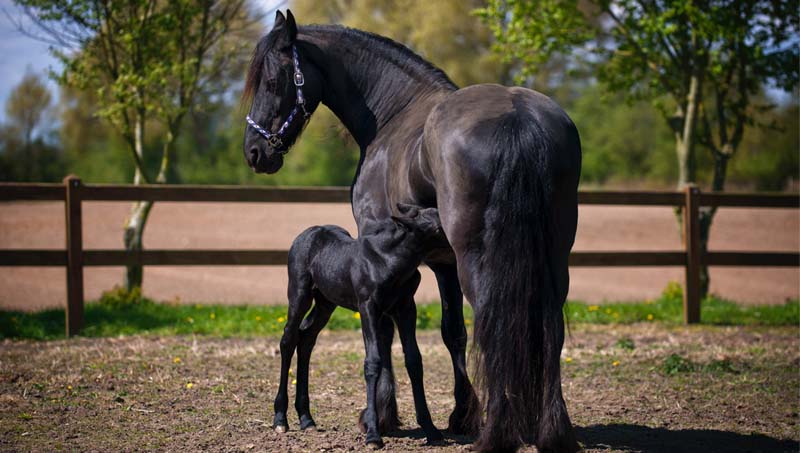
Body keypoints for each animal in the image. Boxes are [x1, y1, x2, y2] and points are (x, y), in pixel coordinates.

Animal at [276, 206, 446, 448]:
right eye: (438, 228)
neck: (388, 261)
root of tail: (306, 233)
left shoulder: (406, 308)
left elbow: (414, 360)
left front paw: (431, 429)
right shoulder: (368, 307)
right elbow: (373, 362)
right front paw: (373, 435)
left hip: (326, 302)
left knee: (306, 338)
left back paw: (307, 418)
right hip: (299, 293)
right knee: (288, 339)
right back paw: (280, 419)